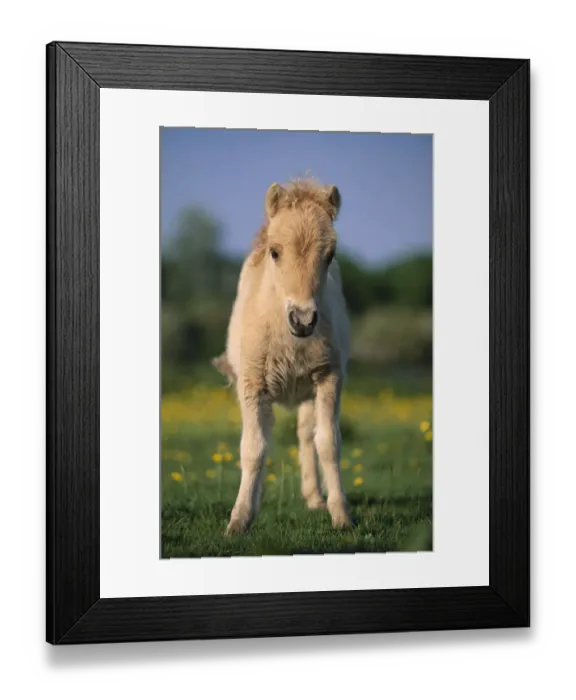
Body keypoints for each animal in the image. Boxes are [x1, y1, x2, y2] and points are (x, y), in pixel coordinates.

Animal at [212, 176, 352, 535]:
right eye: (275, 252)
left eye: (330, 255)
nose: (302, 320)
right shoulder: (252, 384)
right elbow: (253, 448)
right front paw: (239, 519)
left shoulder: (329, 378)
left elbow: (328, 443)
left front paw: (341, 515)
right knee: (267, 434)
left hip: (307, 392)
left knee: (305, 435)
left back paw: (315, 498)